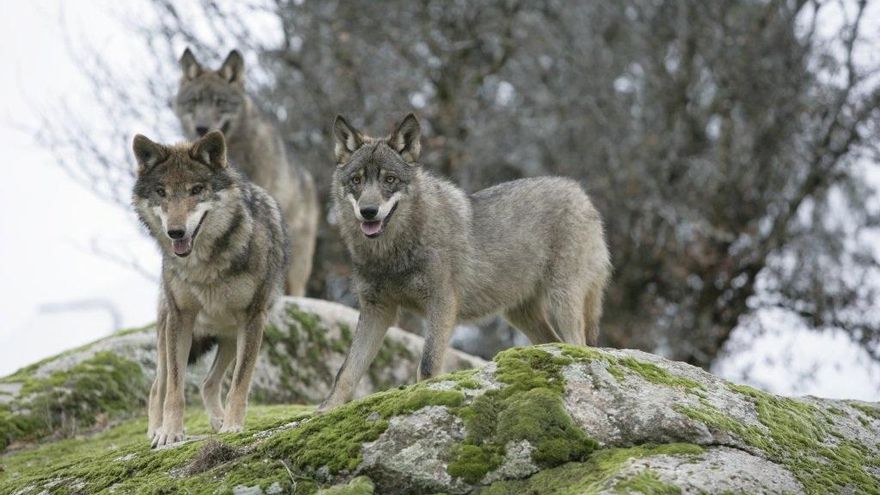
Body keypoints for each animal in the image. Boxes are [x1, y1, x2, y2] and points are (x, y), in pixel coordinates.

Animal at [132, 130, 289, 447]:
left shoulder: (253, 318)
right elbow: (175, 389)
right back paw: (155, 430)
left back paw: (218, 421)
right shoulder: (181, 319)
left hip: (230, 336)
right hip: (168, 334)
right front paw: (170, 433)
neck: (203, 265)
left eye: (196, 190)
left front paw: (232, 426)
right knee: (158, 386)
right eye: (161, 192)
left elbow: (240, 383)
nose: (176, 232)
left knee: (208, 383)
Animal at [320, 114, 611, 410]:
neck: (391, 253)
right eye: (357, 180)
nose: (368, 212)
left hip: (562, 299)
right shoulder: (377, 310)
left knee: (579, 344)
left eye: (389, 179)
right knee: (555, 343)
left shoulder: (442, 303)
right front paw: (325, 410)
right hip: (520, 314)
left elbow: (427, 365)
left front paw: (424, 397)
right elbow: (346, 372)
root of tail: (580, 193)